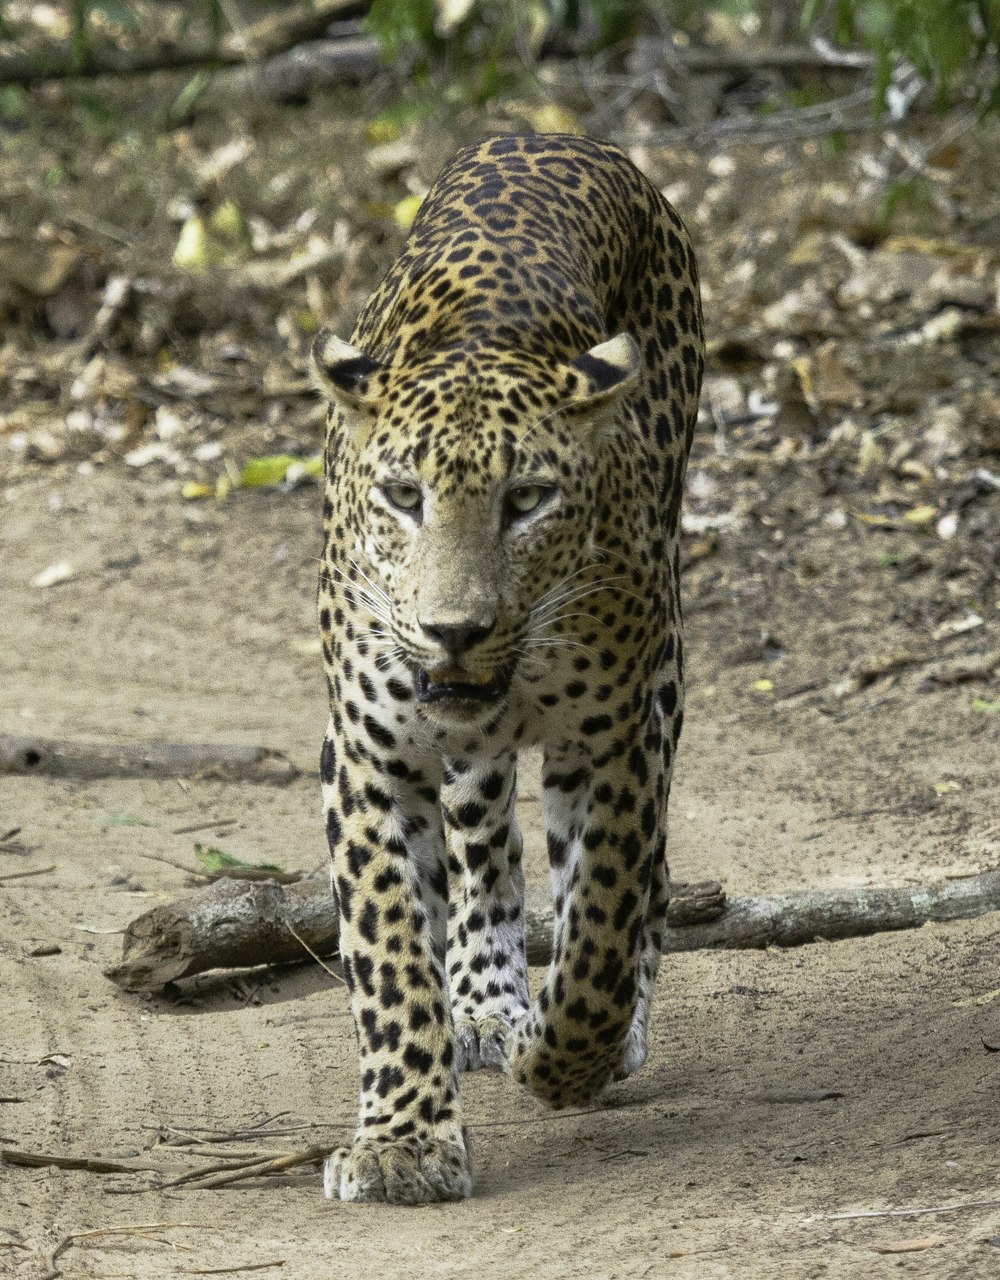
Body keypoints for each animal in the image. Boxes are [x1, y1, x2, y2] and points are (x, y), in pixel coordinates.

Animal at [312, 135, 701, 1203]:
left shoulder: (617, 738)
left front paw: (570, 1059)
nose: (454, 630)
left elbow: (603, 917)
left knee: (632, 881)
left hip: (662, 669)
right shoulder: (366, 757)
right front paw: (404, 1142)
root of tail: (554, 134)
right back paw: (485, 1000)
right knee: (485, 834)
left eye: (527, 499)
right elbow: (390, 951)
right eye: (403, 496)